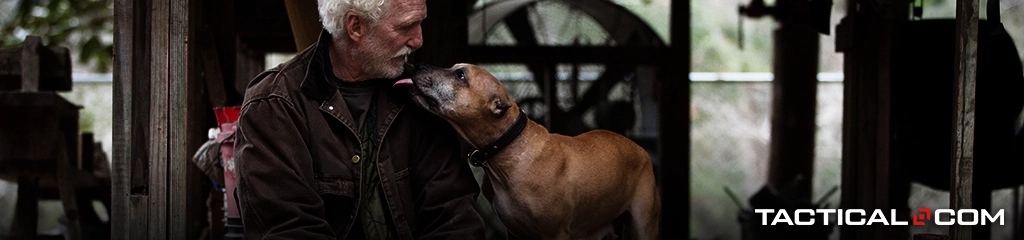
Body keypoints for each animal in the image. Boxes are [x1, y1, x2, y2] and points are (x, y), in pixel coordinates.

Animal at [403, 62, 659, 238]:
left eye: (461, 75)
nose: (419, 64)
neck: (508, 150)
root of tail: (639, 148)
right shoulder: (514, 233)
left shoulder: (555, 233)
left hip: (643, 226)